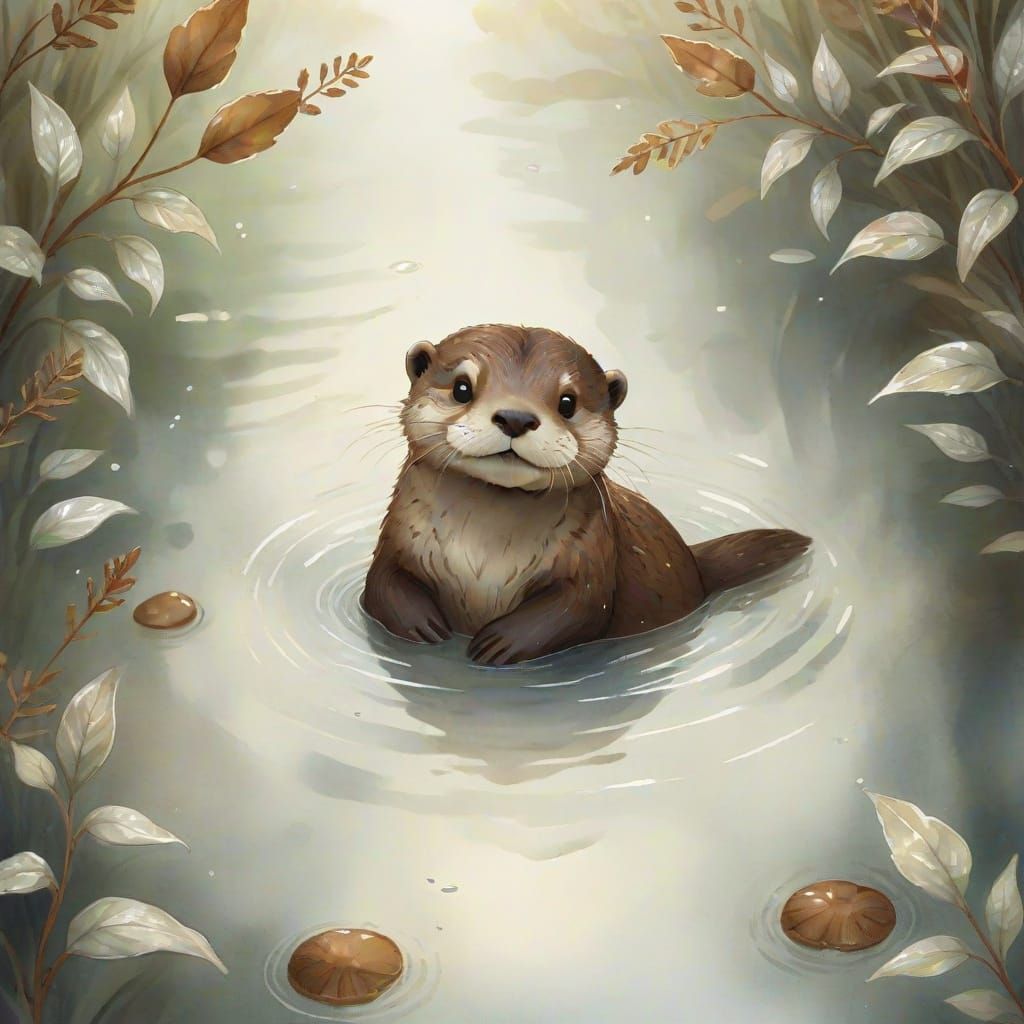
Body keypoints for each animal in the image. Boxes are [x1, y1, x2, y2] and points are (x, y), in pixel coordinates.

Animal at [364, 324, 810, 666]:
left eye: (567, 401)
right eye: (461, 387)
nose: (515, 417)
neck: (485, 554)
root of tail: (696, 569)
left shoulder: (594, 557)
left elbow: (579, 607)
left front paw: (499, 643)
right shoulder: (396, 539)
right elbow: (381, 584)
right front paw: (423, 626)